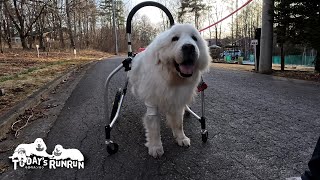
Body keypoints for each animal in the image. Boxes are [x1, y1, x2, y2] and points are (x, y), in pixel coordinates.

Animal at [129, 23, 211, 158]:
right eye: (174, 39)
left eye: (194, 38)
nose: (189, 47)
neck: (172, 80)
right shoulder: (152, 104)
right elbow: (154, 127)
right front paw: (155, 147)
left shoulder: (177, 102)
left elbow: (178, 123)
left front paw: (181, 138)